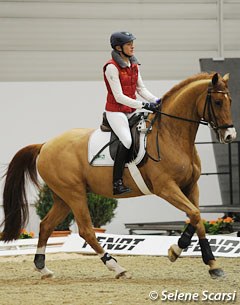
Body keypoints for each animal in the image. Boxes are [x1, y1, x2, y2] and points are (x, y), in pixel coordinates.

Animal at [0, 71, 236, 278]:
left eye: (230, 100)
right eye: (217, 102)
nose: (230, 135)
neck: (172, 135)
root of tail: (45, 145)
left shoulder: (190, 186)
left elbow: (197, 219)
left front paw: (208, 263)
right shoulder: (166, 188)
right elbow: (195, 215)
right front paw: (180, 252)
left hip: (63, 197)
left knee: (46, 225)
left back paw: (42, 268)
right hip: (75, 194)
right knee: (86, 230)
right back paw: (117, 267)